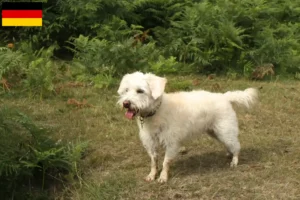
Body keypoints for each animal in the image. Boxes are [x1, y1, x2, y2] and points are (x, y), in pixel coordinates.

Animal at [117, 72, 258, 183]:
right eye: (126, 90)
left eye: (140, 91)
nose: (126, 103)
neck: (156, 111)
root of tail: (225, 96)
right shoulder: (150, 142)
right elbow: (154, 161)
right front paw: (152, 175)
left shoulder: (171, 143)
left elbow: (165, 162)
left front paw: (163, 177)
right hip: (216, 132)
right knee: (230, 144)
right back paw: (229, 153)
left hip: (225, 131)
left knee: (236, 146)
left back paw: (234, 161)